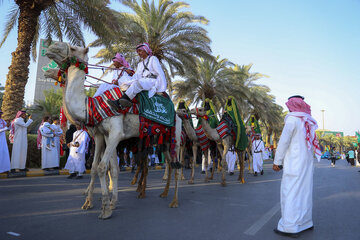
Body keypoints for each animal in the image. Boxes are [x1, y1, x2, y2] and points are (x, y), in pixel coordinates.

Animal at [45, 41, 183, 219]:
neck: (91, 107)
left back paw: (174, 201)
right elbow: (99, 168)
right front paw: (96, 203)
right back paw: (164, 194)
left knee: (176, 166)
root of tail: (177, 113)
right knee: (170, 164)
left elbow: (104, 167)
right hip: (162, 140)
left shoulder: (116, 134)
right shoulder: (101, 135)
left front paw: (105, 208)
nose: (51, 47)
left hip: (175, 137)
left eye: (74, 48)